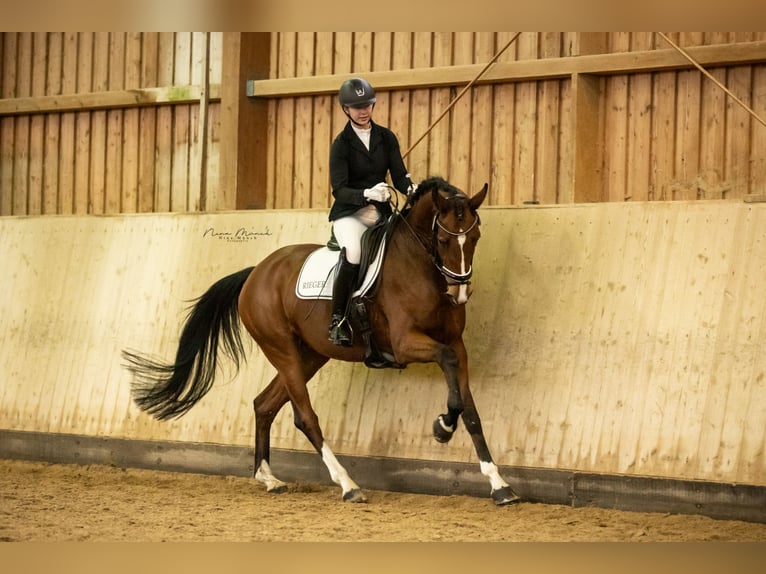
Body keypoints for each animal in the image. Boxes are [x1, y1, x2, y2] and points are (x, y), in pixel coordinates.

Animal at [124, 178, 520, 506]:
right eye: (442, 240)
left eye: (476, 237)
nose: (459, 293)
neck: (420, 265)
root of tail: (255, 273)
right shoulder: (404, 343)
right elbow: (447, 367)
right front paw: (442, 426)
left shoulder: (457, 344)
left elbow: (470, 409)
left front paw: (499, 485)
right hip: (282, 350)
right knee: (305, 416)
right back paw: (348, 485)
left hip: (311, 354)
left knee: (264, 404)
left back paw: (269, 478)